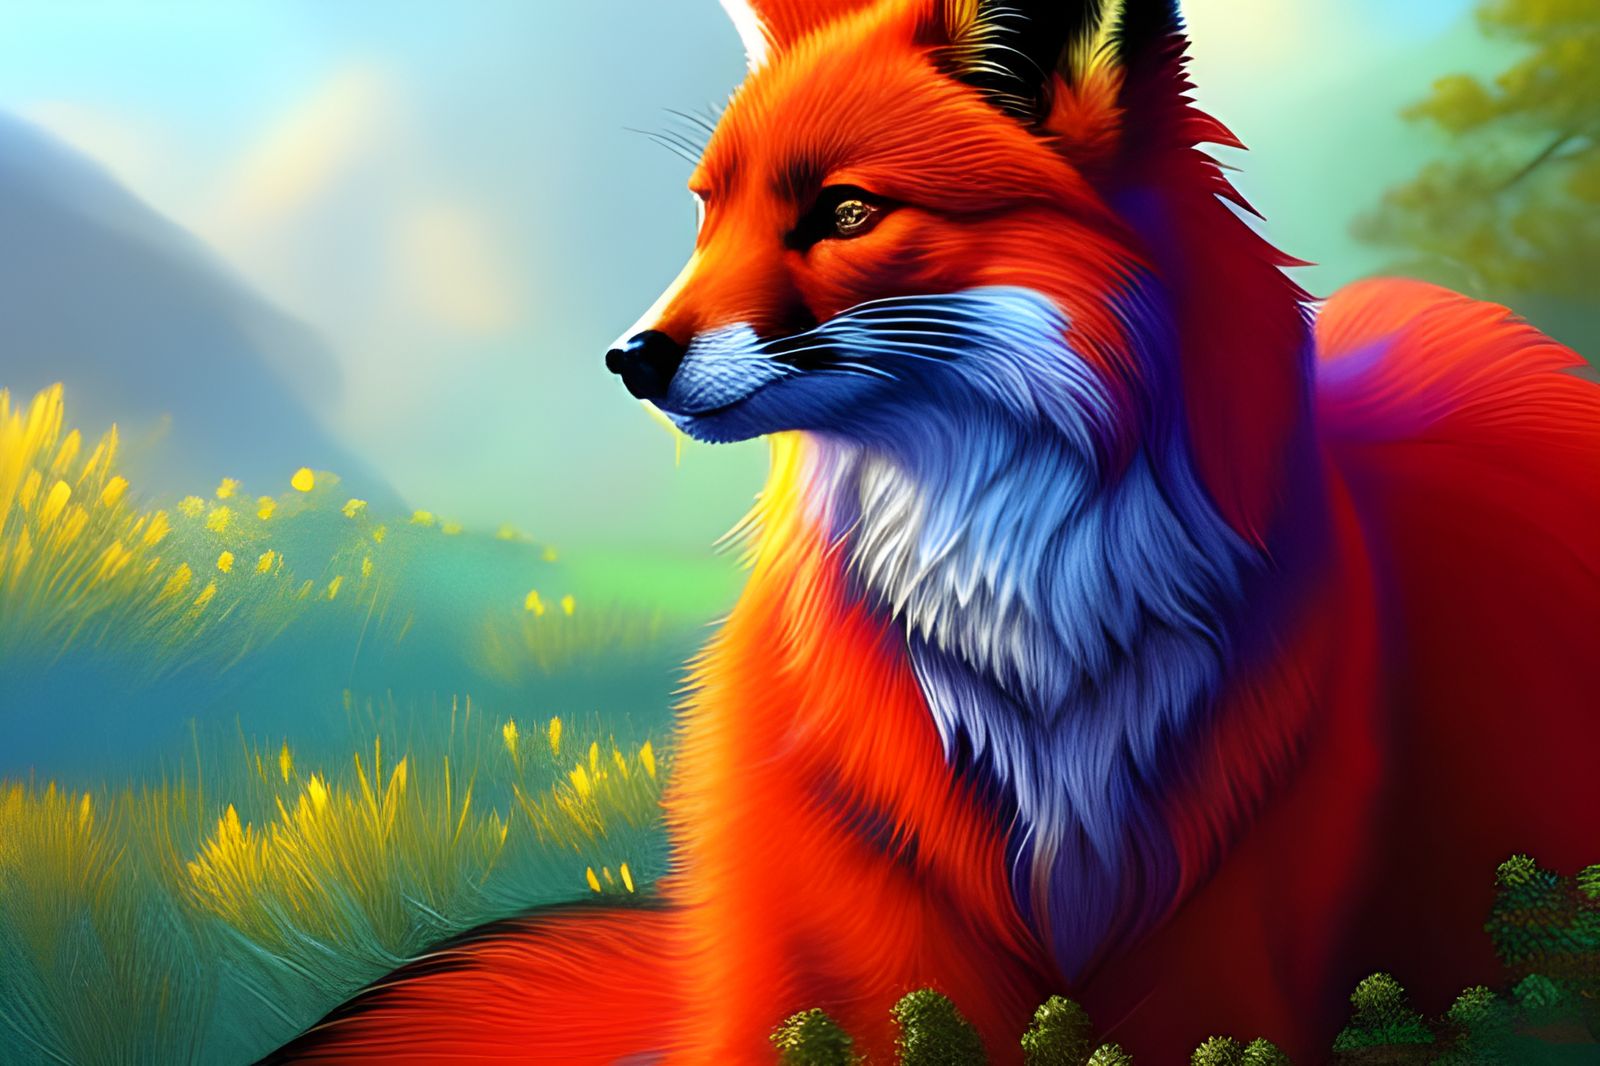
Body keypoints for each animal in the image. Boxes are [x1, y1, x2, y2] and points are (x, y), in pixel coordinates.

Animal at [270, 0, 1600, 1062]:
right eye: (708, 214)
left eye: (845, 210)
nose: (629, 359)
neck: (1031, 650)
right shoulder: (853, 933)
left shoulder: (1235, 929)